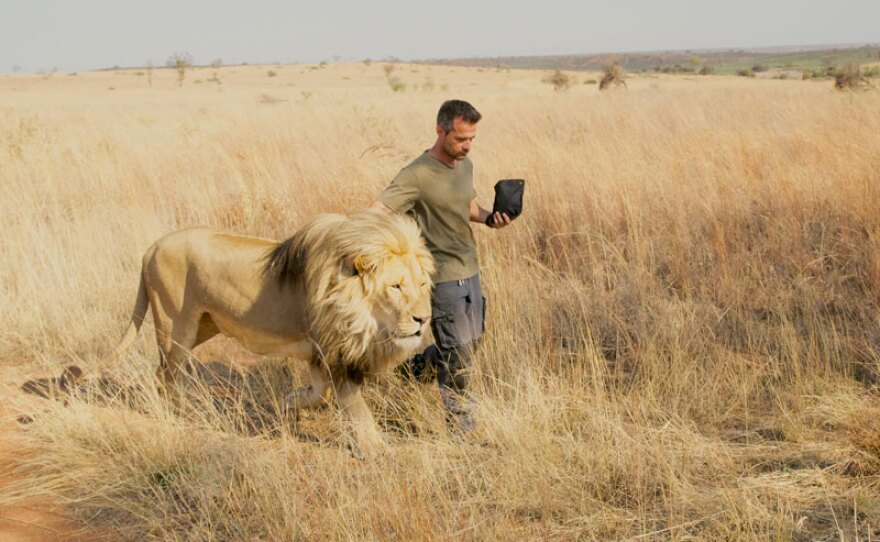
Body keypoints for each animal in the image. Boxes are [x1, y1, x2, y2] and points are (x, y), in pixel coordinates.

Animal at [93, 209, 434, 455]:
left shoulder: (319, 353)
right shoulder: (336, 353)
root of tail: (151, 248)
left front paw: (288, 404)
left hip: (202, 326)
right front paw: (375, 449)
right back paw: (179, 414)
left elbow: (318, 395)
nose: (424, 319)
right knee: (165, 376)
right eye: (395, 286)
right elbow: (356, 407)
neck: (362, 315)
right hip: (175, 328)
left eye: (422, 285)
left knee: (163, 374)